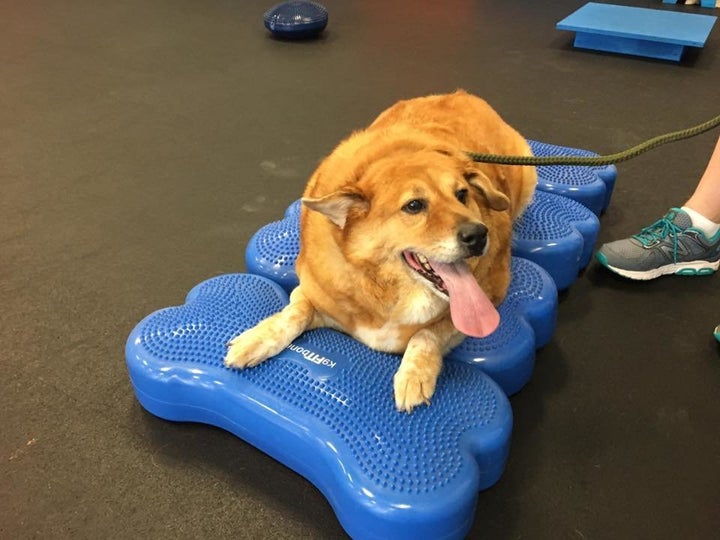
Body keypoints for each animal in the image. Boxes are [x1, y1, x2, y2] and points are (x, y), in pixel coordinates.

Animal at [225, 92, 536, 414]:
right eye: (414, 205)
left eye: (462, 195)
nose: (478, 235)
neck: (384, 288)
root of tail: (463, 94)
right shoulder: (312, 292)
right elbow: (293, 314)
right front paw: (257, 339)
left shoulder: (487, 300)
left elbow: (427, 333)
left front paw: (414, 375)